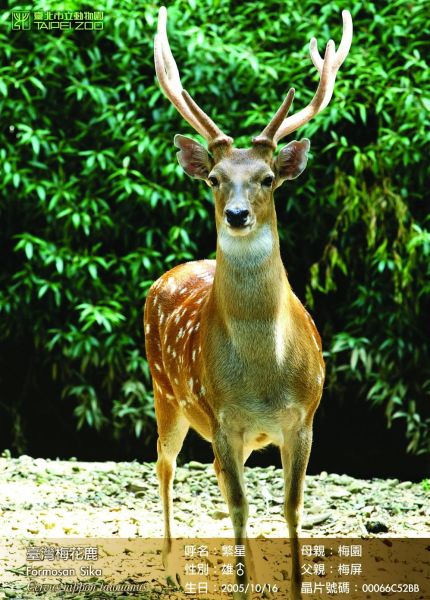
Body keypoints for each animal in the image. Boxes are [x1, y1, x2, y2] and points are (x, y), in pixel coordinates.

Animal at [144, 5, 352, 600]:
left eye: (267, 178)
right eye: (215, 178)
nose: (237, 215)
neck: (263, 376)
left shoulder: (304, 417)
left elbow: (290, 508)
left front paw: (293, 586)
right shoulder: (221, 415)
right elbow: (238, 509)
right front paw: (238, 584)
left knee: (215, 476)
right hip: (167, 392)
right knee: (166, 465)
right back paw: (172, 564)